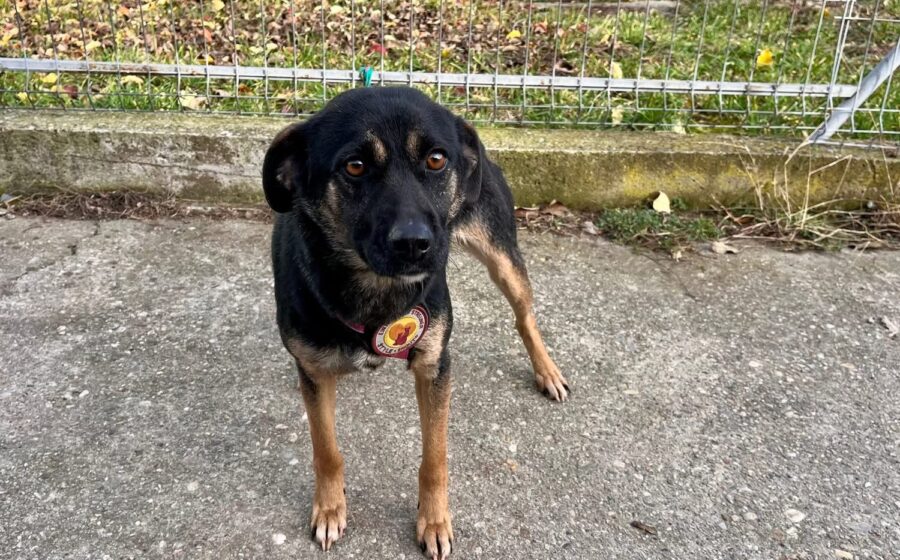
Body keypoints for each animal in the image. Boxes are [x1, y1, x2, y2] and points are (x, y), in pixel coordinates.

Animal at [262, 86, 569, 559]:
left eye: (437, 160)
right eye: (355, 166)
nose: (414, 244)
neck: (375, 289)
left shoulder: (434, 365)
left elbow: (435, 456)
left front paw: (434, 520)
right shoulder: (314, 371)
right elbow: (326, 448)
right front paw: (330, 509)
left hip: (501, 255)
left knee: (525, 316)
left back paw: (547, 371)